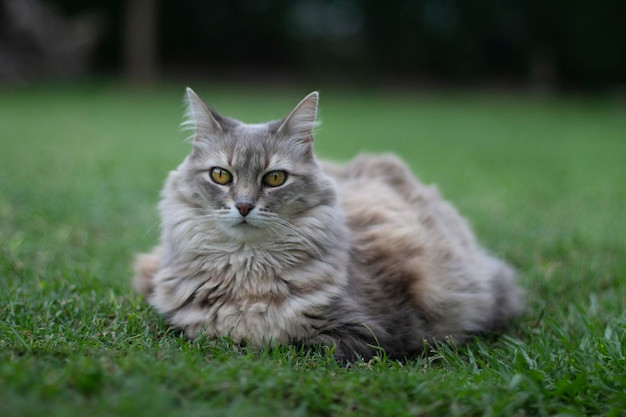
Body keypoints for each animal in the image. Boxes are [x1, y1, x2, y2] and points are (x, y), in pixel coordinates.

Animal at [133, 88, 520, 360]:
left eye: (275, 178)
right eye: (220, 175)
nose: (243, 206)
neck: (246, 276)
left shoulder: (368, 334)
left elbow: (290, 343)